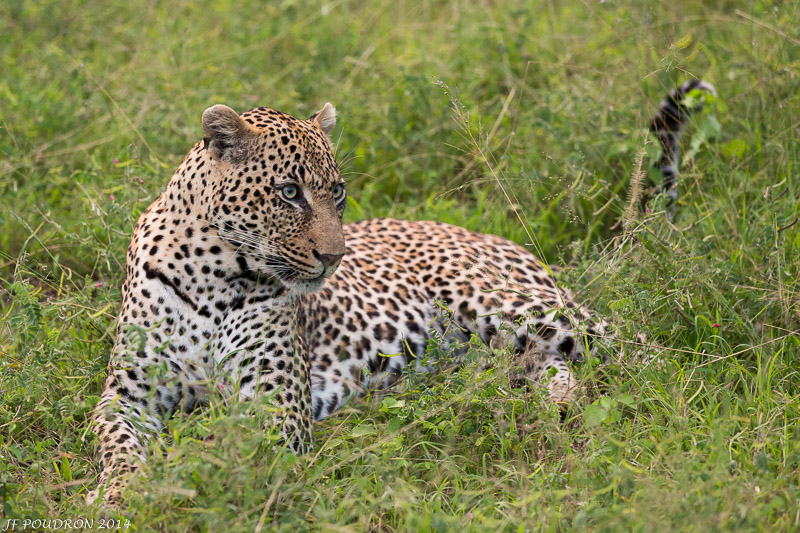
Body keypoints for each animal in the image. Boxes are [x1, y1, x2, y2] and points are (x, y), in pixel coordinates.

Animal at [88, 80, 714, 505]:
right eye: (290, 192)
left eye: (337, 191)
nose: (334, 258)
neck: (212, 277)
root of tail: (490, 234)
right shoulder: (128, 392)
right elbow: (114, 442)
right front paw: (119, 492)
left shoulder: (274, 402)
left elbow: (223, 452)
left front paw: (180, 480)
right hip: (505, 348)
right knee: (546, 371)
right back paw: (544, 406)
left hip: (511, 303)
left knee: (644, 351)